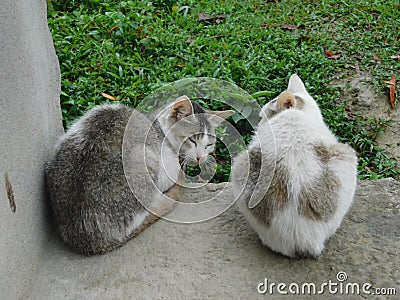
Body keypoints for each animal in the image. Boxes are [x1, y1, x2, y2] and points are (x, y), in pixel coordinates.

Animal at [45, 96, 233, 255]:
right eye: (192, 140)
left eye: (209, 145)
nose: (201, 157)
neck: (157, 126)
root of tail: (86, 240)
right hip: (142, 159)